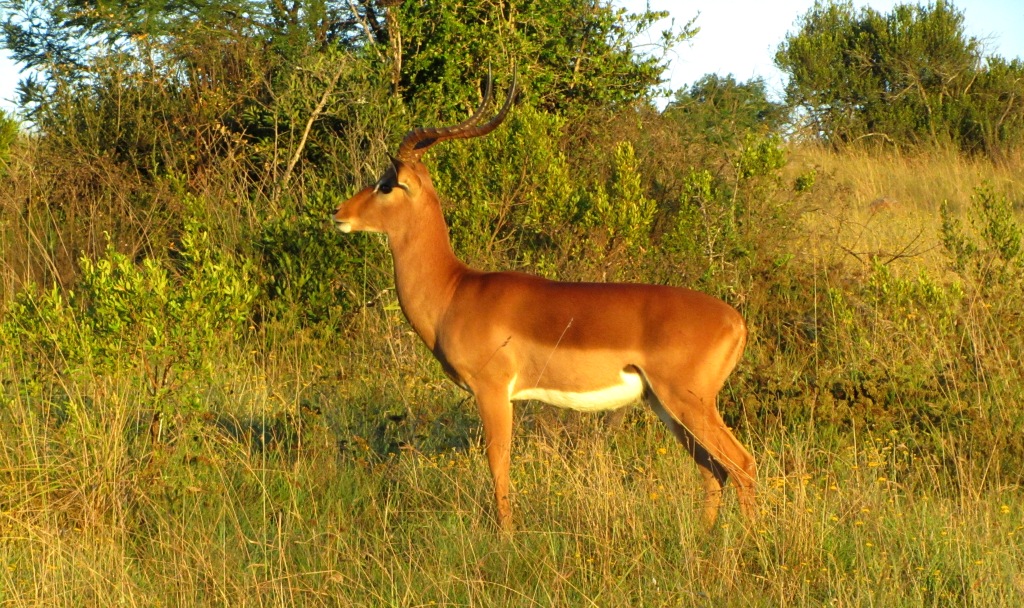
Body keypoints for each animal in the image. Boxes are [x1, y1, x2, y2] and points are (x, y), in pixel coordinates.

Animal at [333, 71, 756, 529]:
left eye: (385, 184)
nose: (339, 213)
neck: (454, 290)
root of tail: (736, 321)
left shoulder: (492, 391)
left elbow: (498, 463)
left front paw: (505, 535)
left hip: (688, 401)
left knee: (742, 465)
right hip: (665, 405)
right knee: (712, 471)